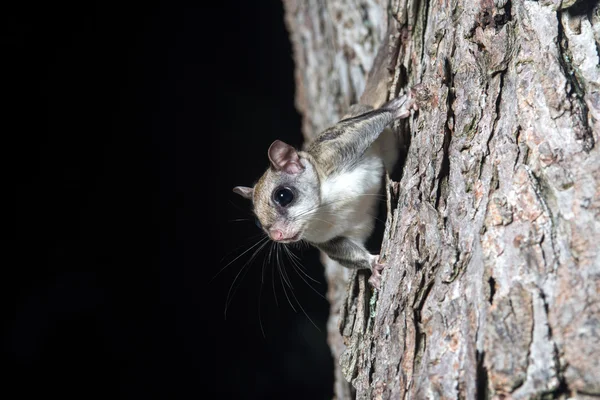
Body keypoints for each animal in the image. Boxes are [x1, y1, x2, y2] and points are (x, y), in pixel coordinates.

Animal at [233, 34, 418, 290]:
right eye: (258, 224)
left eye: (283, 196)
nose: (277, 236)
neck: (323, 208)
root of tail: (355, 107)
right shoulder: (332, 238)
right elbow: (349, 253)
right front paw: (373, 266)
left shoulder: (339, 150)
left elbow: (368, 125)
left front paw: (395, 109)